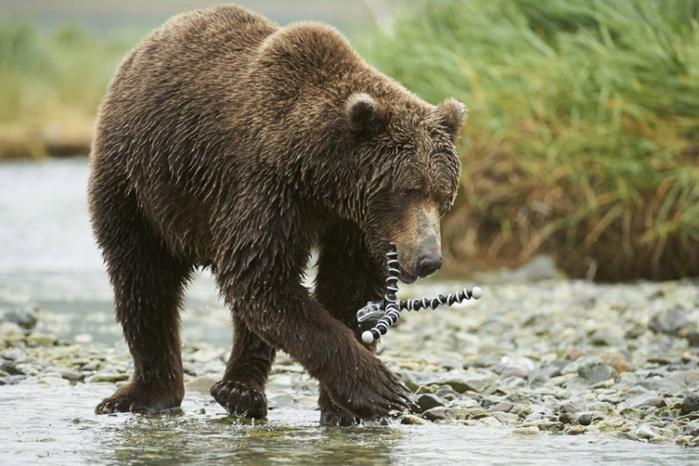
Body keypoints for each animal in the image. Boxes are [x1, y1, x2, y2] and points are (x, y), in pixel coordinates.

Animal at [90, 3, 468, 426]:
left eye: (443, 195)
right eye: (407, 190)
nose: (428, 259)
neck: (319, 178)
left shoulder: (353, 223)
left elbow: (343, 287)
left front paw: (342, 408)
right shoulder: (265, 190)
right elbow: (261, 277)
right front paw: (379, 388)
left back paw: (239, 390)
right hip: (138, 182)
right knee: (142, 279)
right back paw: (147, 393)